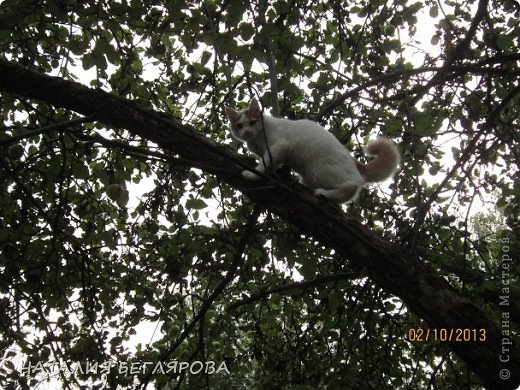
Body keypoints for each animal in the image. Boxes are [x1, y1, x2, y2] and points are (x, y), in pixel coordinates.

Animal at [225, 98, 400, 204]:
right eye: (239, 126)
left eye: (252, 122)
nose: (247, 132)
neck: (256, 140)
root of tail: (354, 161)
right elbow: (270, 161)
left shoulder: (280, 146)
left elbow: (264, 163)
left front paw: (253, 173)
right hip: (312, 175)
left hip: (320, 169)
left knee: (351, 186)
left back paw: (325, 193)